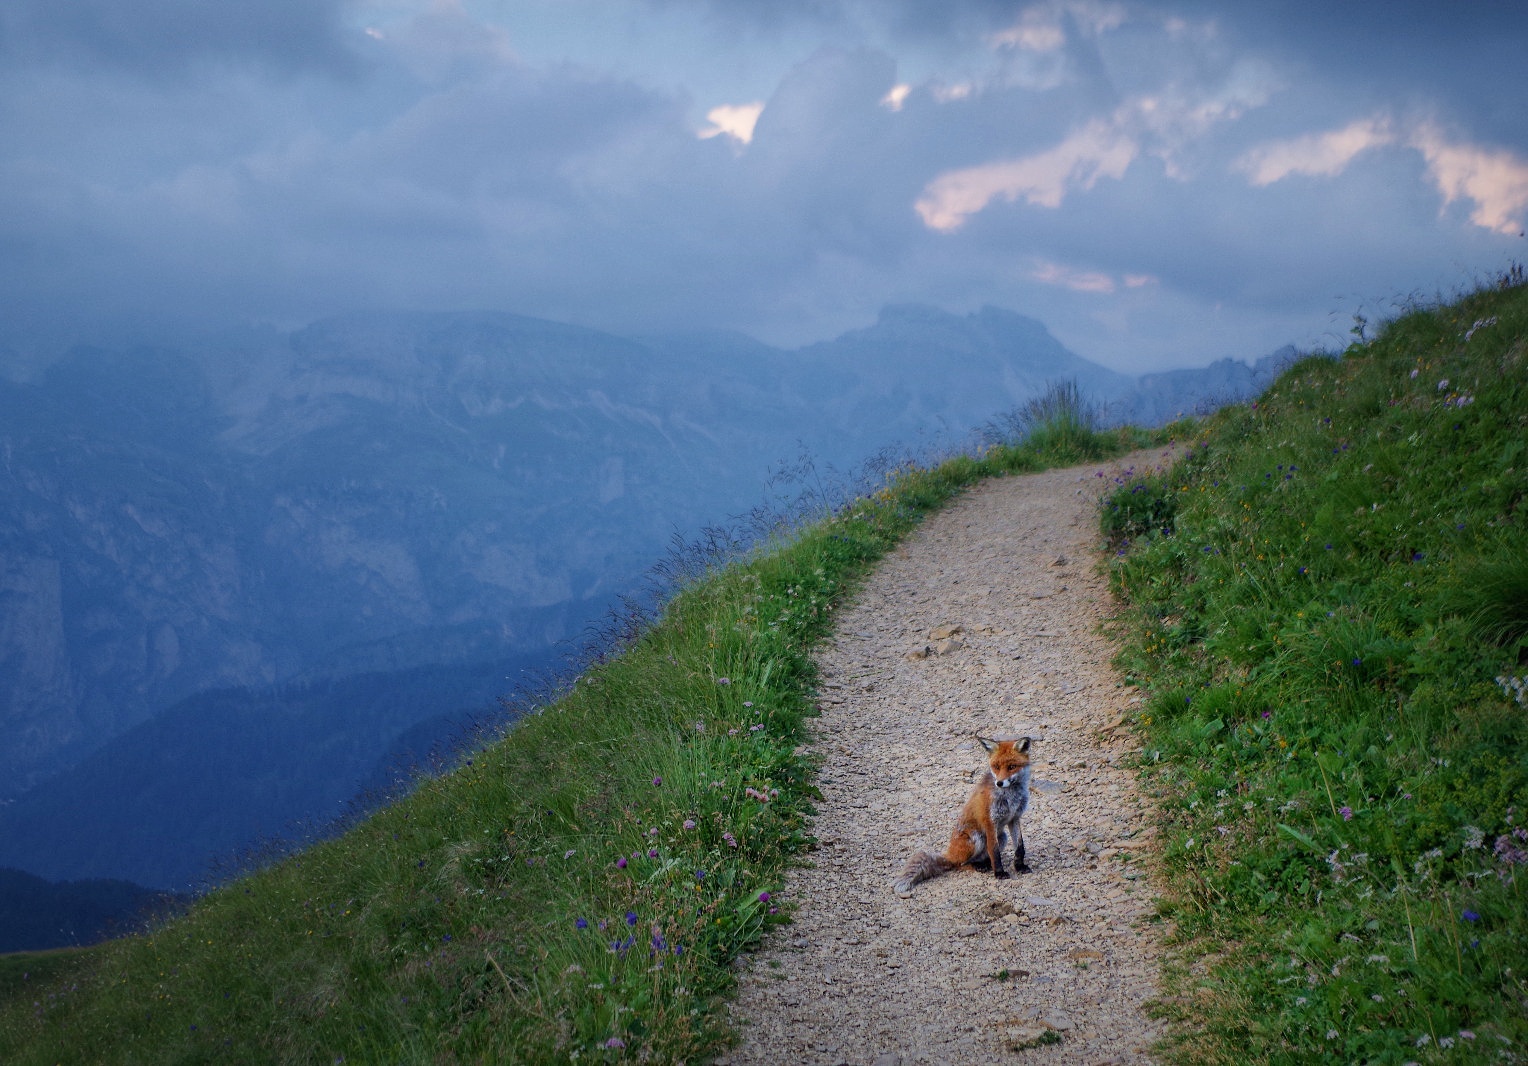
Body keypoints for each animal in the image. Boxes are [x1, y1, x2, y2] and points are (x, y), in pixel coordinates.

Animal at [893, 736, 1032, 896]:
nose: (999, 783)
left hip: (1001, 837)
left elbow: (1020, 847)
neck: (1011, 797)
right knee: (959, 864)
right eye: (996, 767)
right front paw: (999, 873)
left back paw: (983, 864)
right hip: (976, 838)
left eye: (1011, 767)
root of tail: (949, 854)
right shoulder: (990, 821)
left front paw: (1020, 866)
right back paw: (977, 867)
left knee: (981, 857)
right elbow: (994, 852)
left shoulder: (1014, 818)